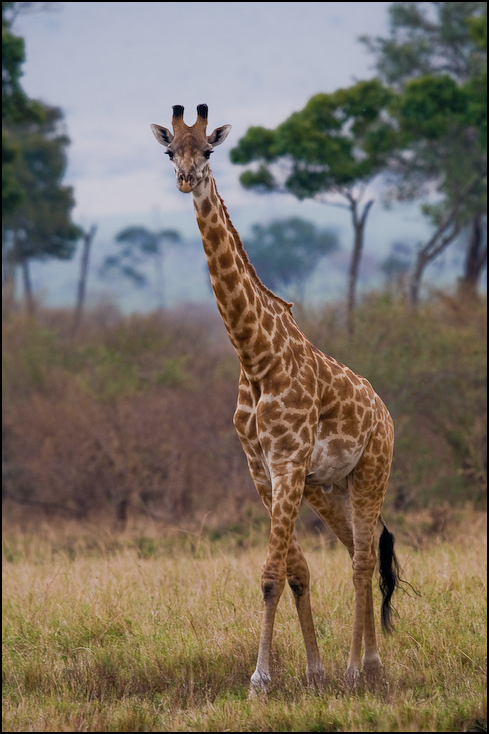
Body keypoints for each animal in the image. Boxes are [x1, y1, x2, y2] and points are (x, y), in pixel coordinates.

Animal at [151, 105, 402, 696]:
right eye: (170, 150)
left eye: (209, 150)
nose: (187, 179)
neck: (255, 357)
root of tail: (383, 412)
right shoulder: (261, 469)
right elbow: (294, 569)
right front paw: (311, 670)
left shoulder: (287, 461)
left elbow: (269, 574)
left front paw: (261, 679)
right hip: (328, 486)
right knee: (357, 551)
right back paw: (363, 666)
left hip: (372, 470)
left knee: (362, 560)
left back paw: (361, 669)